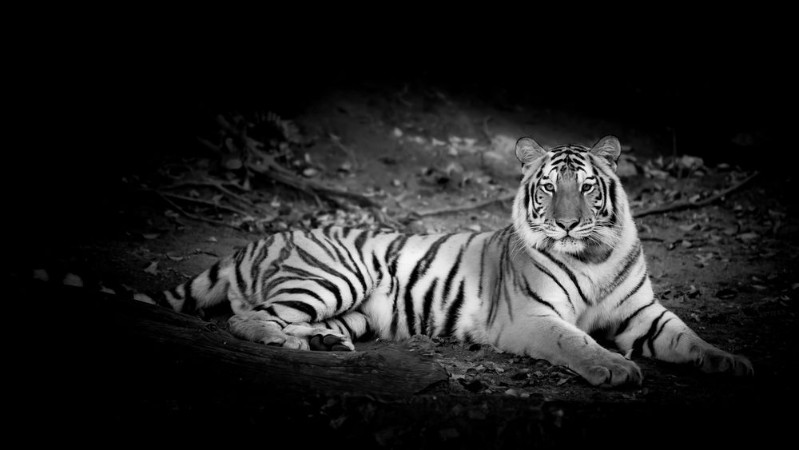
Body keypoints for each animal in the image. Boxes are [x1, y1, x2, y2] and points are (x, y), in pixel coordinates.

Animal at [75, 135, 755, 387]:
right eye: (546, 188)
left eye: (586, 188)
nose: (565, 222)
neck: (591, 254)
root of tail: (258, 240)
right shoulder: (533, 318)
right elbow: (578, 342)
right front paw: (614, 369)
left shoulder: (644, 314)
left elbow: (689, 337)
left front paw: (732, 362)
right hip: (337, 275)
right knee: (247, 319)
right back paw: (289, 344)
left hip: (356, 308)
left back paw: (323, 343)